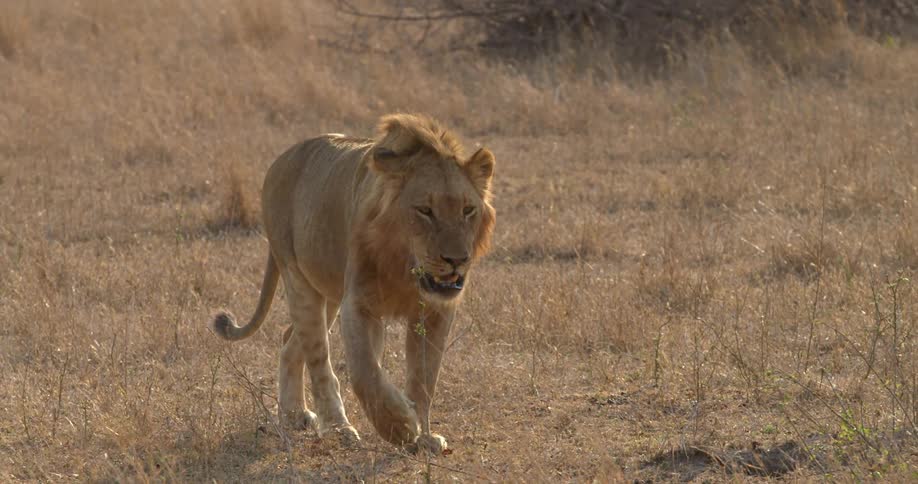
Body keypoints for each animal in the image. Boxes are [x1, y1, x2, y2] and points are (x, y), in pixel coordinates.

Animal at [209, 113, 496, 454]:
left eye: (468, 210)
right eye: (425, 210)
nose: (457, 259)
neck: (404, 268)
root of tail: (281, 159)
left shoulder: (435, 312)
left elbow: (424, 376)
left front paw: (424, 437)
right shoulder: (359, 303)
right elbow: (365, 372)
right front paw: (399, 426)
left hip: (329, 293)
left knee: (290, 339)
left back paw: (294, 415)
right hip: (299, 279)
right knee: (317, 358)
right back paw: (337, 428)